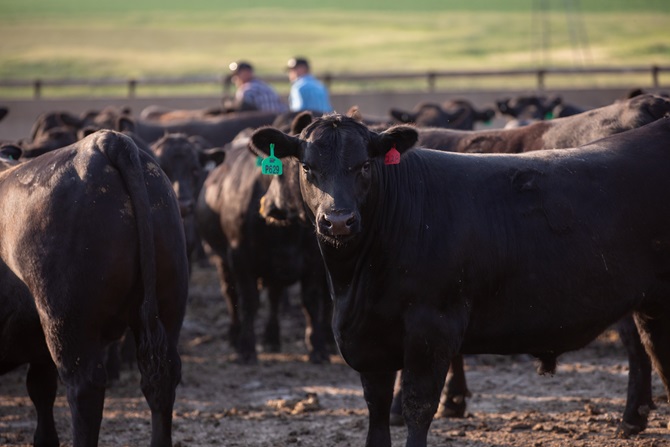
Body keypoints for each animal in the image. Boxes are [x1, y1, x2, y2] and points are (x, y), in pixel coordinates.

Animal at [0, 130, 189, 446]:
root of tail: (106, 140)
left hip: (68, 322)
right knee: (162, 380)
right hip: (169, 302)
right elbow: (41, 396)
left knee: (84, 388)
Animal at [195, 135, 331, 364]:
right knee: (231, 295)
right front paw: (246, 348)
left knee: (275, 297)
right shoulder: (240, 258)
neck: (287, 231)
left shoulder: (313, 261)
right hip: (221, 259)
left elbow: (311, 302)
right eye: (304, 167)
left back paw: (272, 337)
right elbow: (249, 302)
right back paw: (235, 335)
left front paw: (317, 349)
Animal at [249, 114, 670, 447]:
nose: (338, 220)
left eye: (365, 165)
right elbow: (377, 412)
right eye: (306, 167)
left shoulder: (432, 327)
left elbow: (418, 408)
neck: (354, 283)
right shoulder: (368, 339)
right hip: (653, 306)